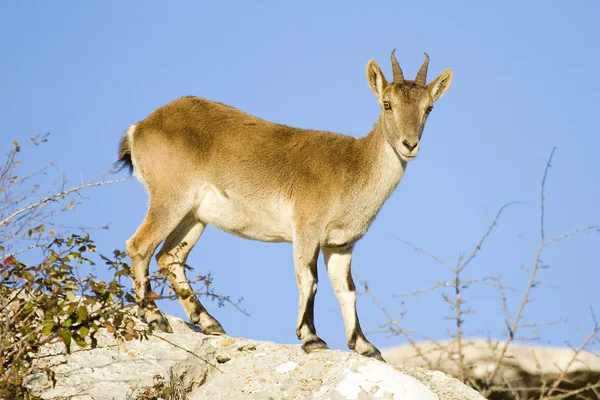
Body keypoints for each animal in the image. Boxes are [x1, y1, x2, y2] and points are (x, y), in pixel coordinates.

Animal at [116, 51, 450, 360]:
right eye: (387, 104)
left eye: (429, 108)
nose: (409, 145)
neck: (353, 167)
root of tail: (140, 128)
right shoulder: (307, 228)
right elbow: (309, 279)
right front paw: (311, 337)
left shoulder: (340, 245)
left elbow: (347, 291)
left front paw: (364, 345)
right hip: (170, 198)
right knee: (140, 246)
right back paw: (154, 315)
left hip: (195, 216)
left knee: (170, 257)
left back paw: (209, 322)